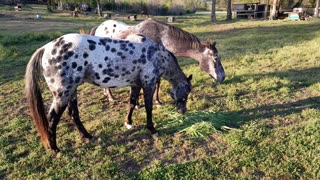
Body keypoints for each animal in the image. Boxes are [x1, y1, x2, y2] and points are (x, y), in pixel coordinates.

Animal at [25, 33, 191, 153]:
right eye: (185, 95)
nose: (183, 111)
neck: (155, 54)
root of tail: (46, 48)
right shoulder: (148, 84)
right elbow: (148, 108)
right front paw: (152, 129)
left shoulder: (136, 85)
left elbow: (132, 103)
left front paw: (128, 123)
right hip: (62, 94)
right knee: (52, 118)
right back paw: (54, 148)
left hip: (71, 92)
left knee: (73, 114)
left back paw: (87, 136)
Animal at [90, 19, 225, 103]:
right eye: (216, 58)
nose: (223, 77)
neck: (161, 37)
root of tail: (99, 27)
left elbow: (158, 82)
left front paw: (157, 100)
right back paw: (111, 98)